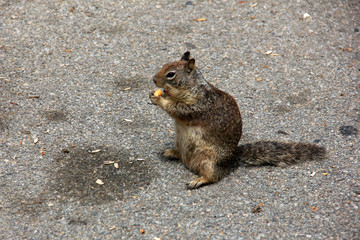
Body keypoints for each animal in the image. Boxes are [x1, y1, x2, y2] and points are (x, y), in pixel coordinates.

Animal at [149, 51, 326, 189]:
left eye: (171, 74)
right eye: (164, 64)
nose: (153, 80)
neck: (189, 88)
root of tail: (232, 159)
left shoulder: (199, 105)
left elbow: (179, 110)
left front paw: (158, 99)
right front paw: (157, 94)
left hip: (210, 162)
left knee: (214, 176)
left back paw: (198, 180)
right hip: (182, 144)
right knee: (182, 155)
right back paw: (171, 152)